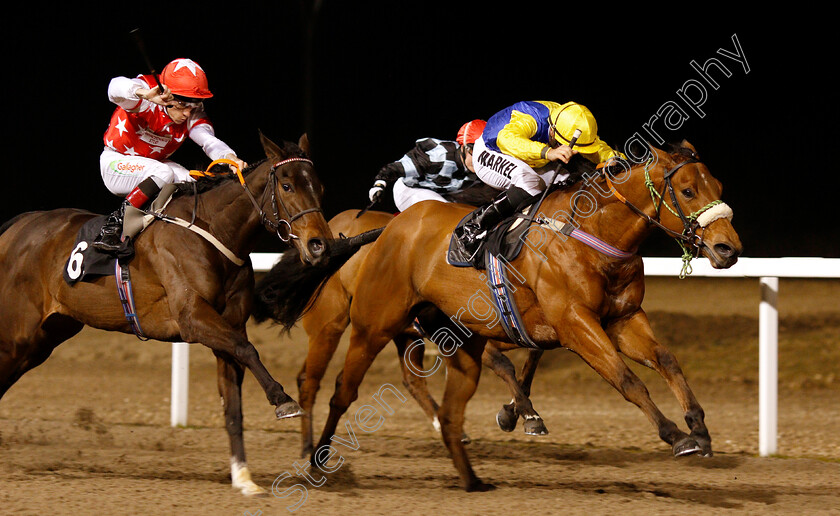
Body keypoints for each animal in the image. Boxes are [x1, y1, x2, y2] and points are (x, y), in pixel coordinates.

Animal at [0, 133, 342, 496]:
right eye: (287, 185)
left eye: (320, 186)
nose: (320, 245)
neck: (213, 232)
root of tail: (17, 227)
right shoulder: (194, 319)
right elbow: (248, 350)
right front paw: (283, 400)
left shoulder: (229, 328)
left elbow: (234, 405)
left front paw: (244, 478)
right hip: (16, 335)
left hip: (45, 337)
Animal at [253, 210, 548, 460]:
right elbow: (505, 365)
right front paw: (528, 415)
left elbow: (533, 356)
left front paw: (515, 411)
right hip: (329, 324)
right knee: (309, 378)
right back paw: (307, 445)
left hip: (405, 333)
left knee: (411, 380)